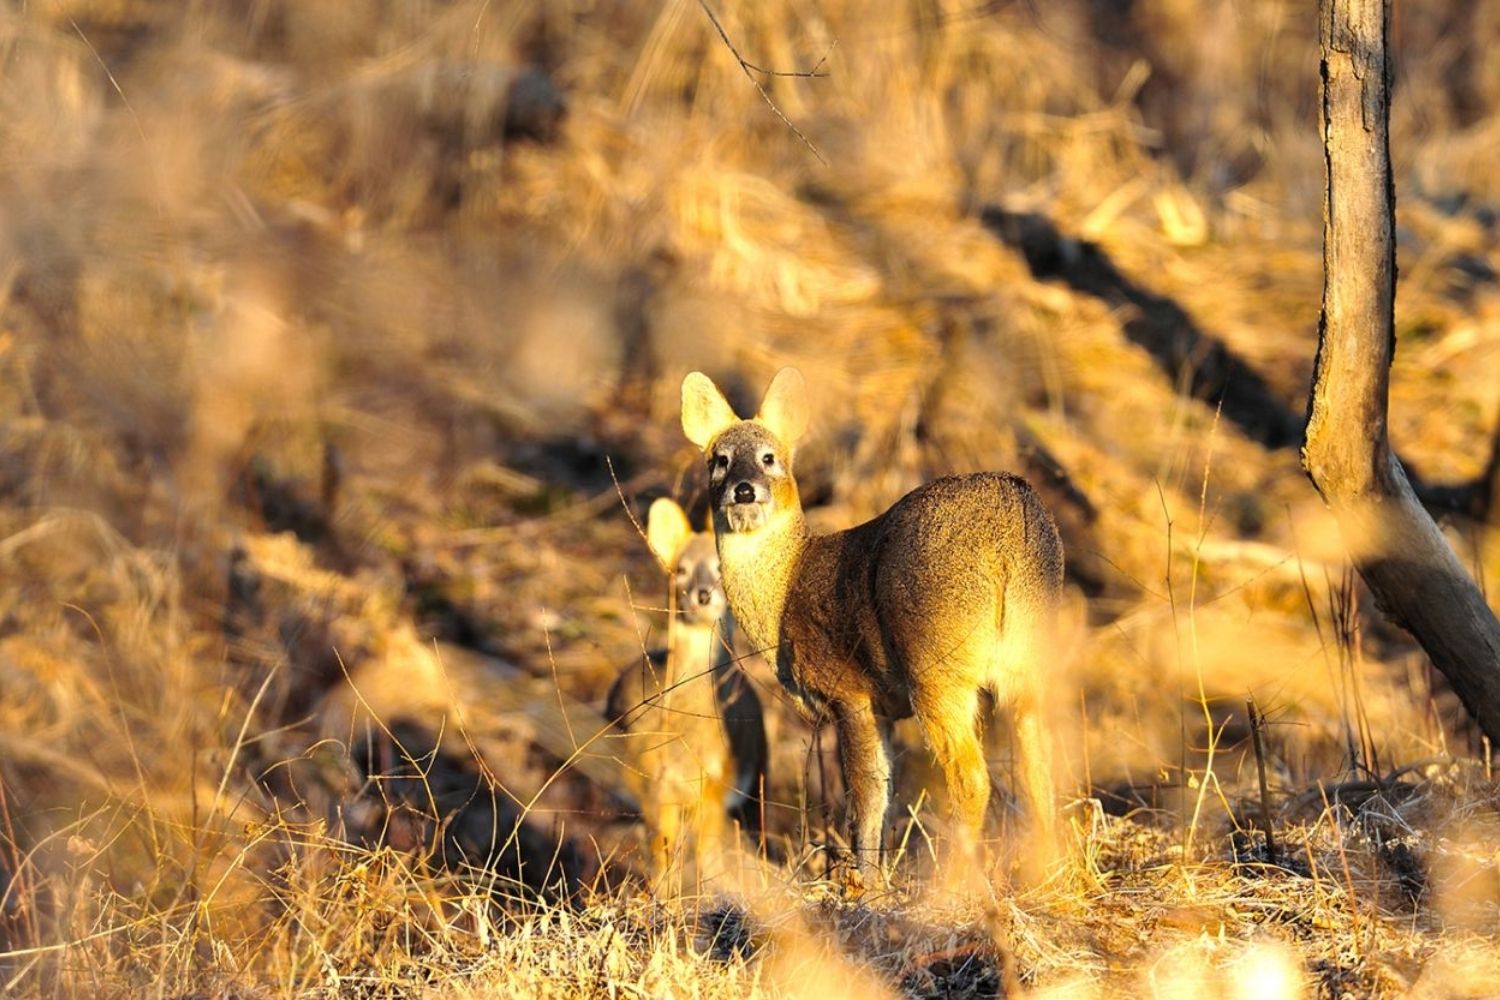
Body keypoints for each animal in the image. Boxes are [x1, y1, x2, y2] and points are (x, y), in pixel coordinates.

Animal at [603, 500, 768, 881]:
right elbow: (663, 857)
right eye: (680, 569)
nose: (702, 595)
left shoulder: (716, 783)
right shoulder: (654, 781)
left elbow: (707, 856)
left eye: (721, 566)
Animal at [681, 370, 1068, 881]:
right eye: (719, 460)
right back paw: (1054, 876)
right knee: (1040, 768)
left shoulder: (849, 692)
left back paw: (951, 886)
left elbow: (864, 799)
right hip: (1030, 656)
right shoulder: (884, 708)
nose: (744, 489)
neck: (786, 589)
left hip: (936, 667)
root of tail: (1006, 532)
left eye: (769, 458)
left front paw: (864, 883)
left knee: (972, 777)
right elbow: (885, 797)